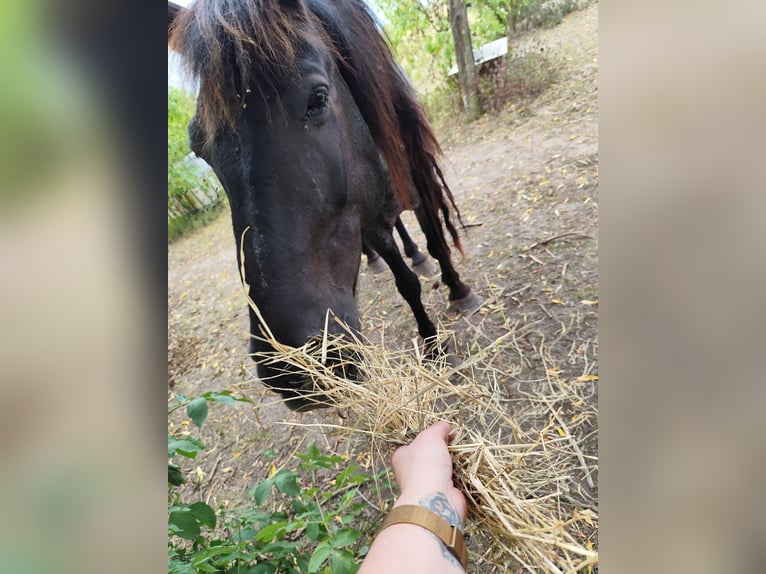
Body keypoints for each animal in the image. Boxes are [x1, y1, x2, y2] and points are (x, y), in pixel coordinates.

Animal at [168, 0, 482, 411]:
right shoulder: (369, 225)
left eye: (317, 98)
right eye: (198, 147)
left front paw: (457, 293)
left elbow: (436, 241)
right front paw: (432, 343)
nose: (293, 368)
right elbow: (406, 283)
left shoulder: (417, 179)